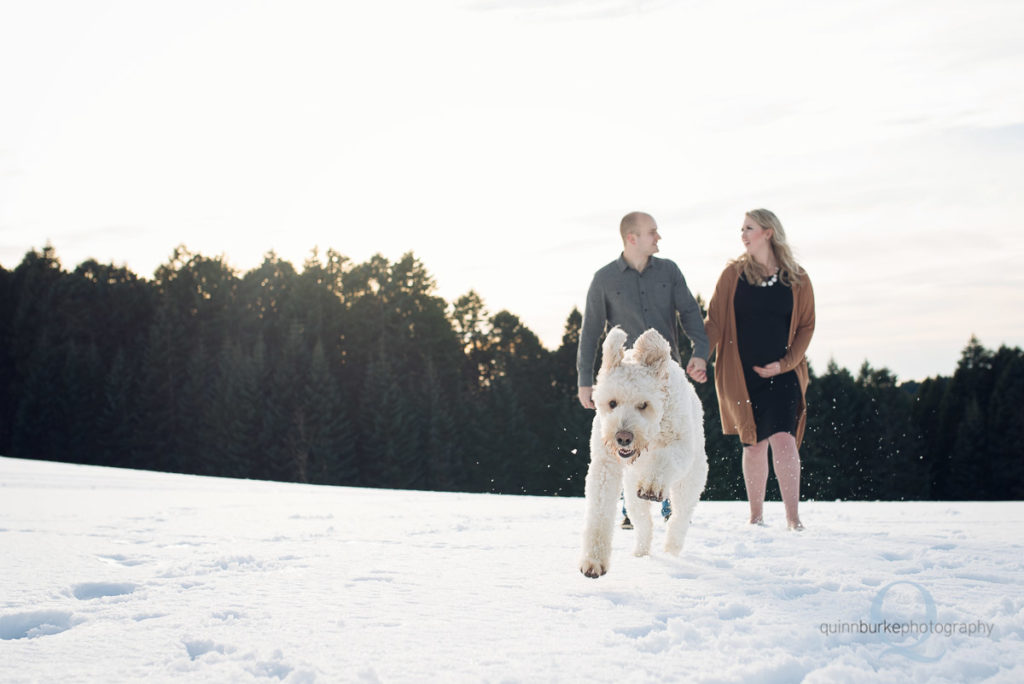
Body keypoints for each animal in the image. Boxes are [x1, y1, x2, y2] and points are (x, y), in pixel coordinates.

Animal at [581, 325, 708, 577]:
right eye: (612, 403)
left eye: (643, 405)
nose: (623, 438)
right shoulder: (605, 464)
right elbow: (599, 512)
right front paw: (593, 561)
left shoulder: (680, 446)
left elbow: (664, 459)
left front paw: (652, 485)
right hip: (631, 493)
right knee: (643, 522)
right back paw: (641, 552)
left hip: (690, 481)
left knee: (680, 516)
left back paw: (672, 547)